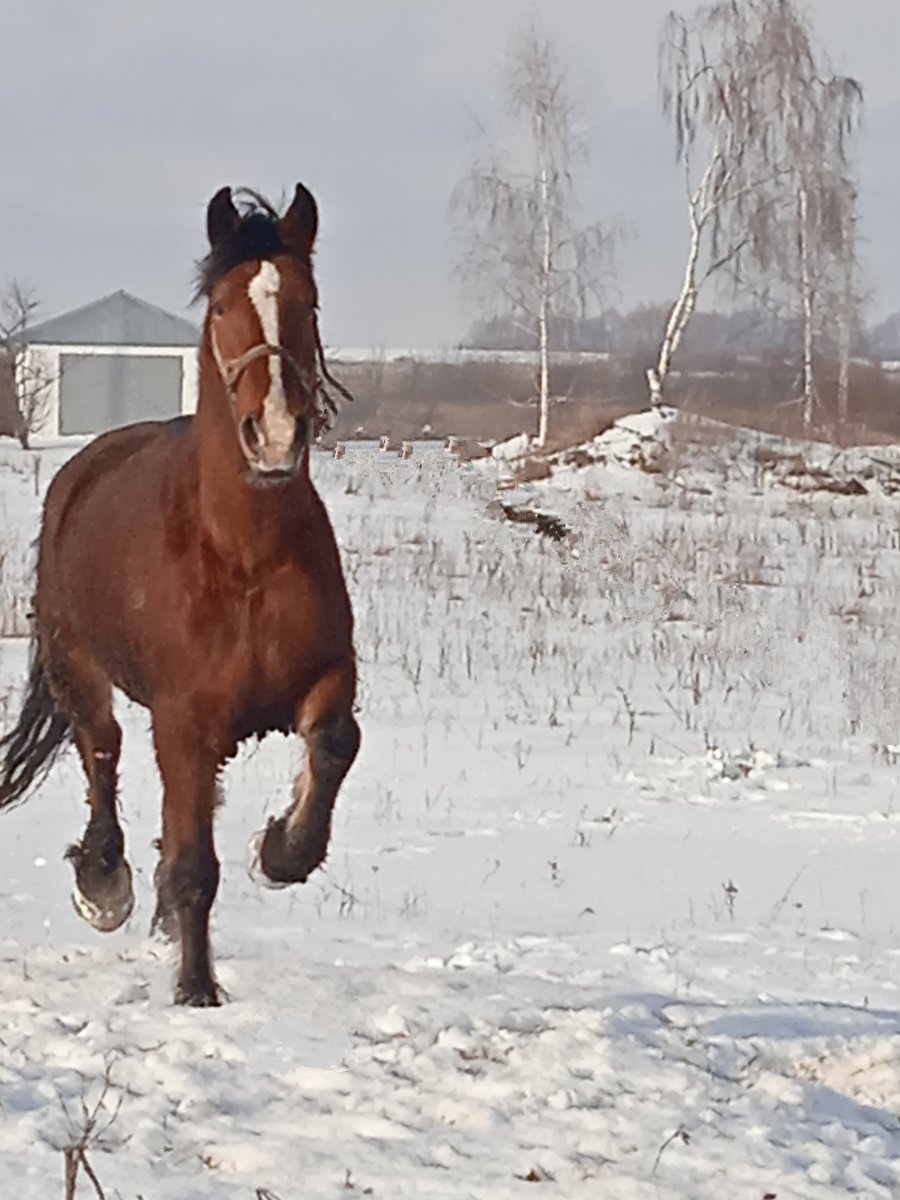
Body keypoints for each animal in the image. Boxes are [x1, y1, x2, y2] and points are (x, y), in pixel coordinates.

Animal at [0, 183, 360, 1006]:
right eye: (222, 306)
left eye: (309, 302)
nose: (276, 436)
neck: (242, 555)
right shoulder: (184, 721)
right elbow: (194, 862)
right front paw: (197, 989)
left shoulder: (328, 677)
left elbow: (334, 743)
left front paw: (282, 850)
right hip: (79, 667)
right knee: (101, 751)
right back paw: (105, 885)